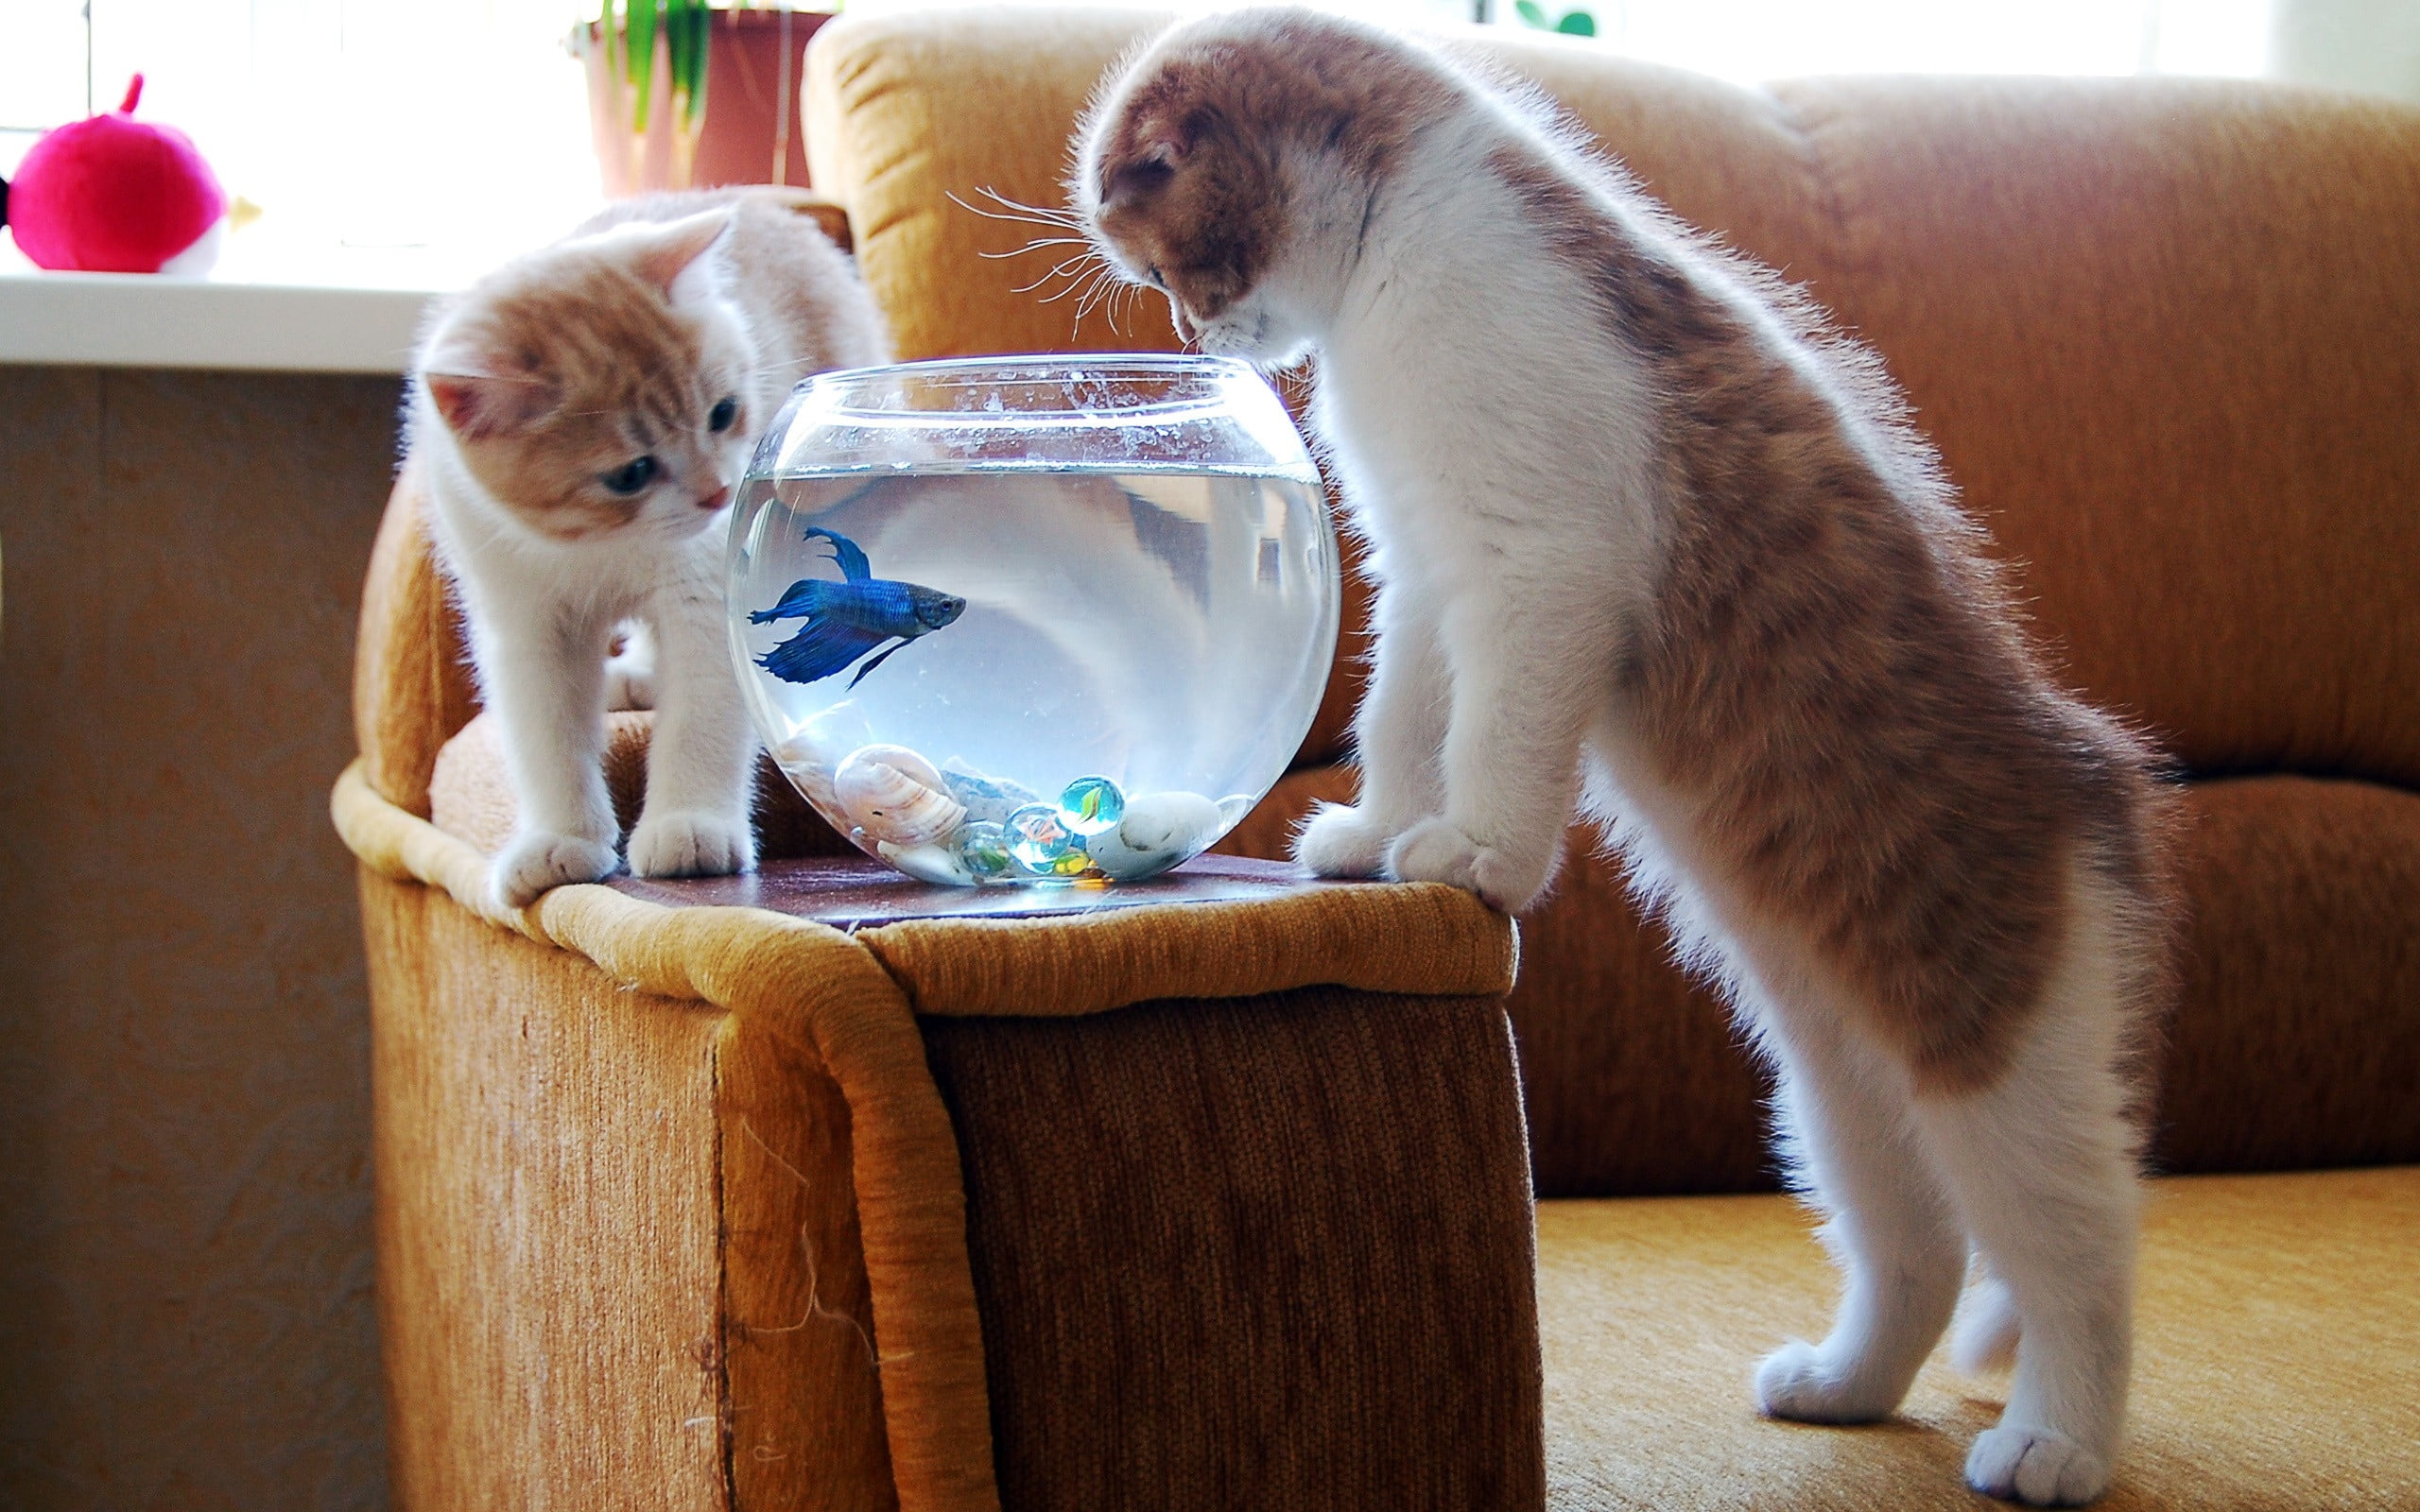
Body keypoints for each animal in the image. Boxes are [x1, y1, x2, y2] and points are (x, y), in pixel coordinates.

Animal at [408, 186, 890, 909]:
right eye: (630, 473)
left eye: (723, 413)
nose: (719, 493)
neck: (596, 545)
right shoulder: (521, 619)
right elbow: (545, 732)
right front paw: (560, 838)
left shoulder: (708, 593)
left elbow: (701, 714)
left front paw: (689, 825)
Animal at [1079, 9, 2178, 1500]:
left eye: (1176, 266)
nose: (1198, 334)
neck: (1406, 231)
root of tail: (2086, 776)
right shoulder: (1427, 567)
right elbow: (1404, 710)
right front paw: (1376, 830)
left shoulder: (1540, 556)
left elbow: (1494, 724)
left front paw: (1480, 852)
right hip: (1831, 1094)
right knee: (1916, 1246)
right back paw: (1845, 1386)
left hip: (1993, 1050)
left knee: (2079, 1246)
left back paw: (2057, 1439)